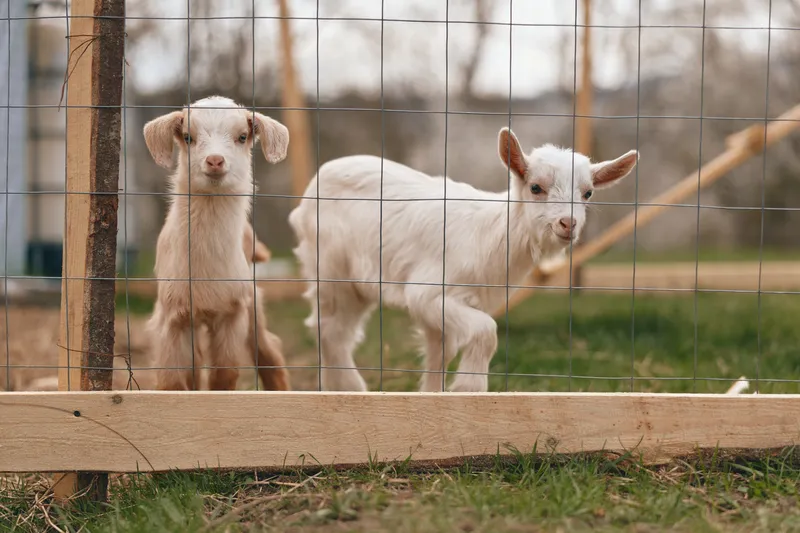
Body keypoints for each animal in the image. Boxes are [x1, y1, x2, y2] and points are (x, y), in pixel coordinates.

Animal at [143, 95, 289, 391]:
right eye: (188, 137)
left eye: (242, 136)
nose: (214, 161)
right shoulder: (171, 318)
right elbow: (173, 382)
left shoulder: (232, 311)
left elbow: (225, 374)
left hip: (252, 304)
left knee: (269, 350)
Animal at [288, 127, 638, 392]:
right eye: (536, 187)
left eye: (588, 193)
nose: (568, 223)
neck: (494, 234)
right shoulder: (428, 292)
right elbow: (485, 330)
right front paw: (468, 387)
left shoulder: (452, 306)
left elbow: (439, 352)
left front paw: (434, 395)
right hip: (332, 268)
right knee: (330, 329)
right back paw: (349, 388)